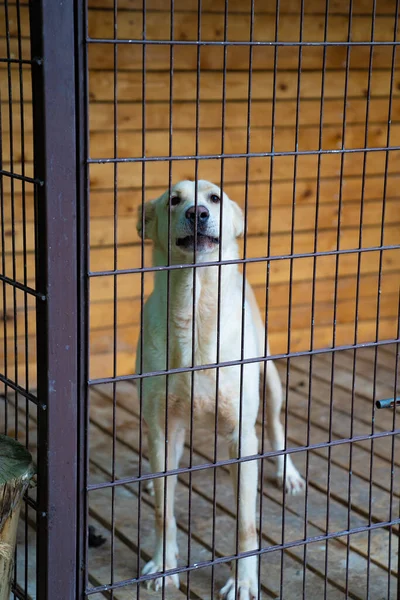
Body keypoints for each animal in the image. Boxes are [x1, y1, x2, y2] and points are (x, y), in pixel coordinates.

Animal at [136, 180, 304, 596]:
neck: (195, 308)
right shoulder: (161, 427)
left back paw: (288, 472)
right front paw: (163, 564)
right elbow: (164, 510)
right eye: (174, 199)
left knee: (276, 425)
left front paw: (243, 581)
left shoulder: (242, 437)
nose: (197, 213)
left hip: (270, 379)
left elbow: (246, 524)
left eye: (214, 198)